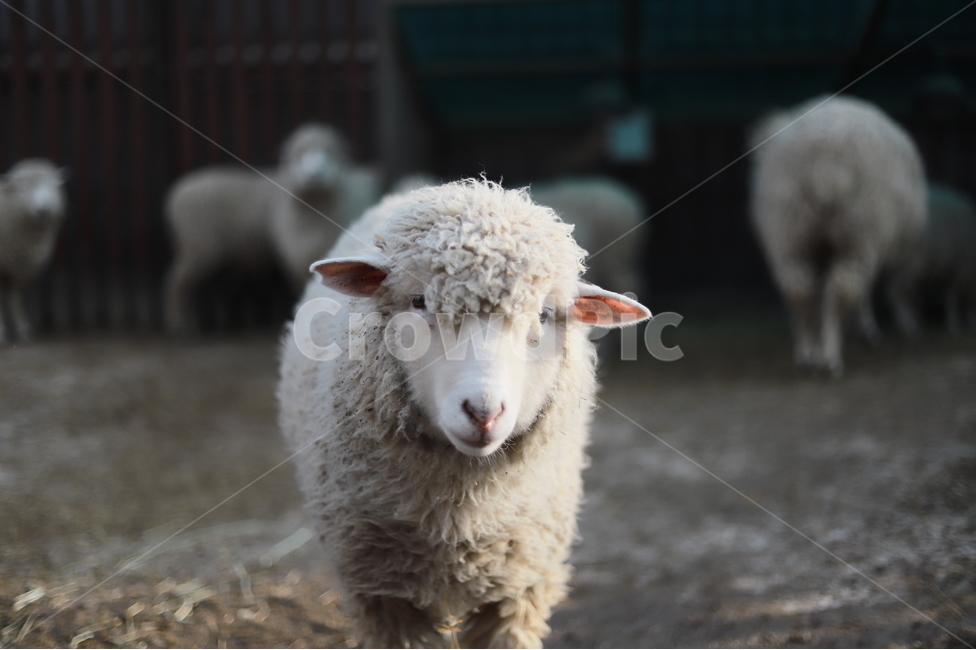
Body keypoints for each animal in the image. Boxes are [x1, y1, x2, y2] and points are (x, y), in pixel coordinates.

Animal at [0, 159, 67, 344]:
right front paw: (1, 331)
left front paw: (22, 329)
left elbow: (14, 298)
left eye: (52, 186)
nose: (44, 209)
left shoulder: (16, 267)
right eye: (23, 187)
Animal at [164, 123, 379, 333]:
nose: (314, 176)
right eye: (298, 154)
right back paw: (182, 323)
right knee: (177, 282)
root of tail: (177, 191)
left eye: (330, 152)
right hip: (199, 245)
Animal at [278, 179, 651, 648]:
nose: (483, 412)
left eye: (545, 314)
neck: (460, 516)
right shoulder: (385, 592)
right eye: (419, 300)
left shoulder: (518, 586)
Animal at [748, 95, 927, 376]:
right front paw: (865, 329)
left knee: (798, 290)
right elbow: (864, 290)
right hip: (860, 230)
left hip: (788, 228)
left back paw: (807, 353)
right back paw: (830, 357)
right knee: (841, 289)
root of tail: (826, 160)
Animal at [885, 183, 976, 336]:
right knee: (894, 292)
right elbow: (953, 297)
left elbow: (920, 295)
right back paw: (907, 326)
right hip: (911, 261)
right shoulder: (961, 270)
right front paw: (956, 324)